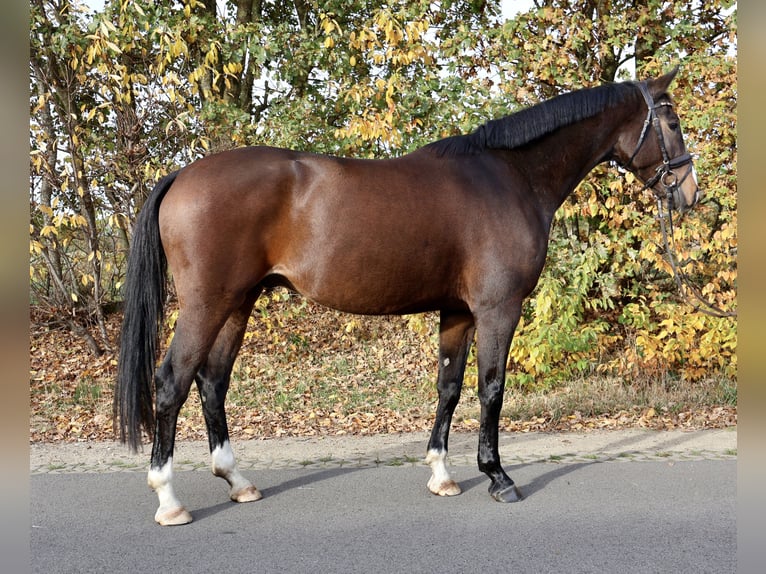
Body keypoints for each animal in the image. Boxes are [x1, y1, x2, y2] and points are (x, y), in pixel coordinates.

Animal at [115, 68, 700, 525]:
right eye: (671, 123)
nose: (689, 193)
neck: (511, 177)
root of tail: (182, 176)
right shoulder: (498, 309)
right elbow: (491, 389)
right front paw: (497, 476)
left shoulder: (458, 311)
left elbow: (449, 387)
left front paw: (442, 473)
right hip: (207, 304)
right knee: (172, 384)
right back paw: (169, 500)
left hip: (239, 301)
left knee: (213, 382)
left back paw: (238, 481)